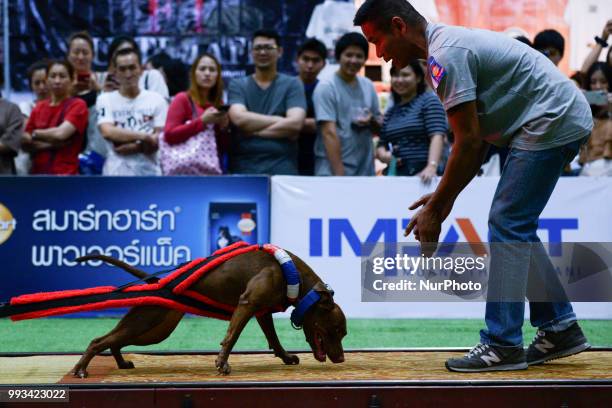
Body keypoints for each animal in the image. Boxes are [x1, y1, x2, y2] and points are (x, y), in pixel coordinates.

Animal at [69, 250, 346, 378]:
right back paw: (81, 369)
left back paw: (121, 363)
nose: (342, 359)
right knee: (99, 341)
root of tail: (158, 282)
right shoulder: (247, 304)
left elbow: (274, 340)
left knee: (114, 341)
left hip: (153, 331)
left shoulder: (260, 312)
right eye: (336, 330)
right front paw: (222, 363)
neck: (293, 275)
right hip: (147, 323)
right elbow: (231, 337)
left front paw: (286, 357)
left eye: (343, 333)